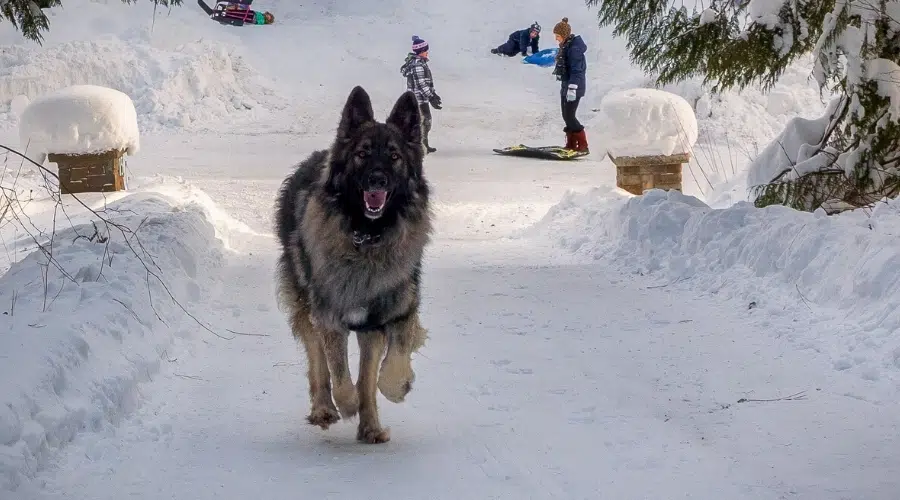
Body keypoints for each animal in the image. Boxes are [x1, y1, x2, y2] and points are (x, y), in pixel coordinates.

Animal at [274, 86, 432, 446]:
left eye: (394, 156)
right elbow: (341, 375)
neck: (367, 237)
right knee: (317, 357)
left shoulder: (392, 313)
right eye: (362, 154)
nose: (377, 180)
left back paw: (370, 425)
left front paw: (397, 387)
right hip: (306, 302)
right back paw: (324, 408)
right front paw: (346, 404)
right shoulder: (331, 316)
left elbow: (384, 371)